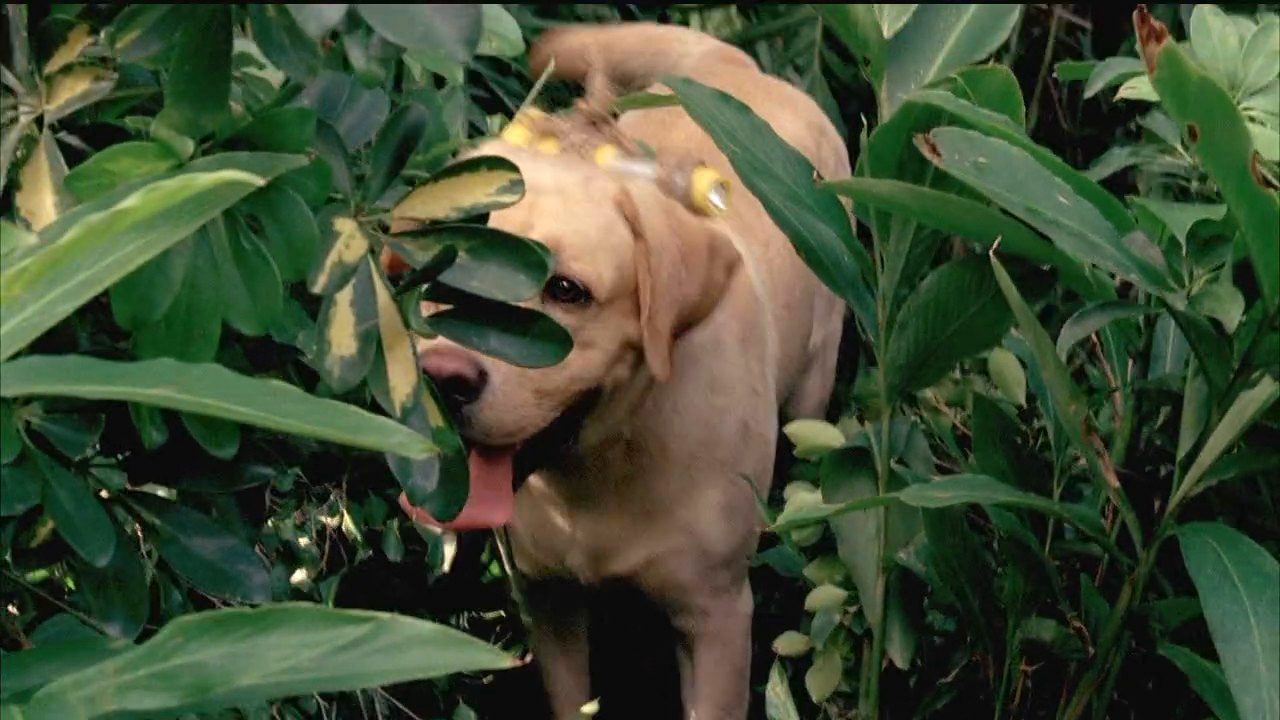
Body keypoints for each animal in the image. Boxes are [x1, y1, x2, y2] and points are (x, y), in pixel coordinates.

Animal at [394, 22, 844, 717]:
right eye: (450, 271)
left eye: (567, 291)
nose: (446, 376)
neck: (597, 473)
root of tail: (736, 64)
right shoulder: (550, 600)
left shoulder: (716, 619)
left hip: (814, 388)